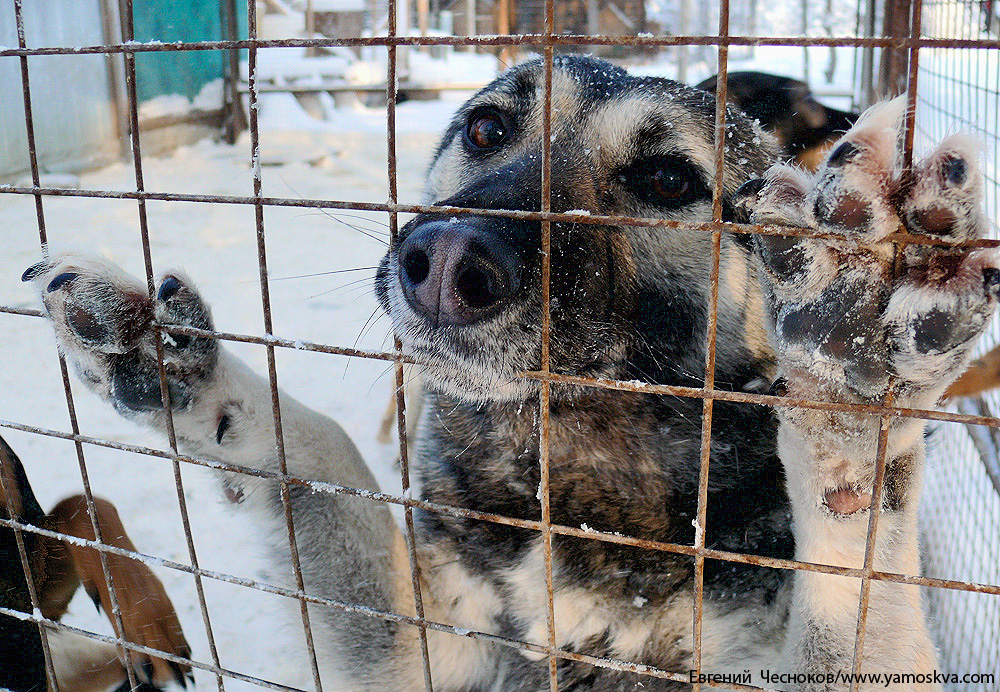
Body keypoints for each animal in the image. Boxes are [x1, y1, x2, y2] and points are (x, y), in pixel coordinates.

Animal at [23, 56, 1000, 688]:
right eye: (487, 127)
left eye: (666, 178)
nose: (447, 262)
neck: (584, 466)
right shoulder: (420, 651)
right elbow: (326, 460)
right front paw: (180, 370)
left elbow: (856, 595)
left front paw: (850, 381)